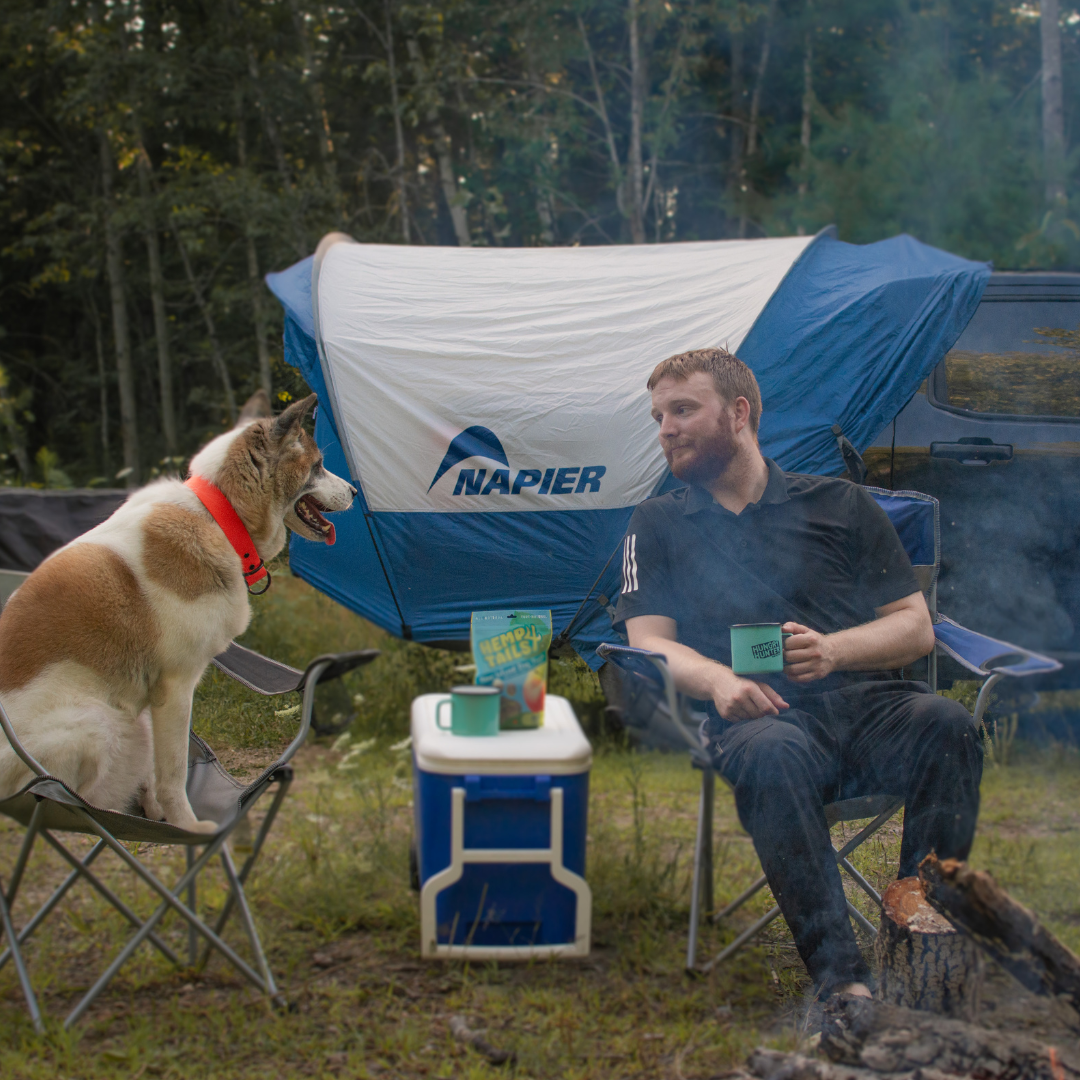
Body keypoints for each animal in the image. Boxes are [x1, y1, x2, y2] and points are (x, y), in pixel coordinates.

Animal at [0, 393, 356, 829]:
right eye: (318, 465)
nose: (355, 491)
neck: (219, 517)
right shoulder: (175, 687)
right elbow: (171, 773)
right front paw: (187, 825)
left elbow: (162, 770)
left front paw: (160, 810)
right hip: (104, 724)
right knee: (84, 795)